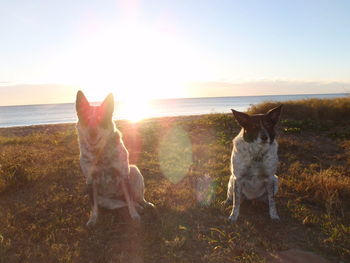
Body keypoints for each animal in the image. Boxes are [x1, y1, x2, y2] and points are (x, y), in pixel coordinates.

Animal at [76, 91, 154, 227]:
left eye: (101, 119)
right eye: (86, 119)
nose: (92, 132)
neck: (100, 154)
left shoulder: (123, 174)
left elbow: (129, 199)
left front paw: (134, 216)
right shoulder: (90, 180)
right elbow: (93, 206)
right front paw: (92, 219)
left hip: (134, 170)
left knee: (135, 198)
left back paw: (144, 204)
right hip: (106, 201)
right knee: (123, 203)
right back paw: (137, 207)